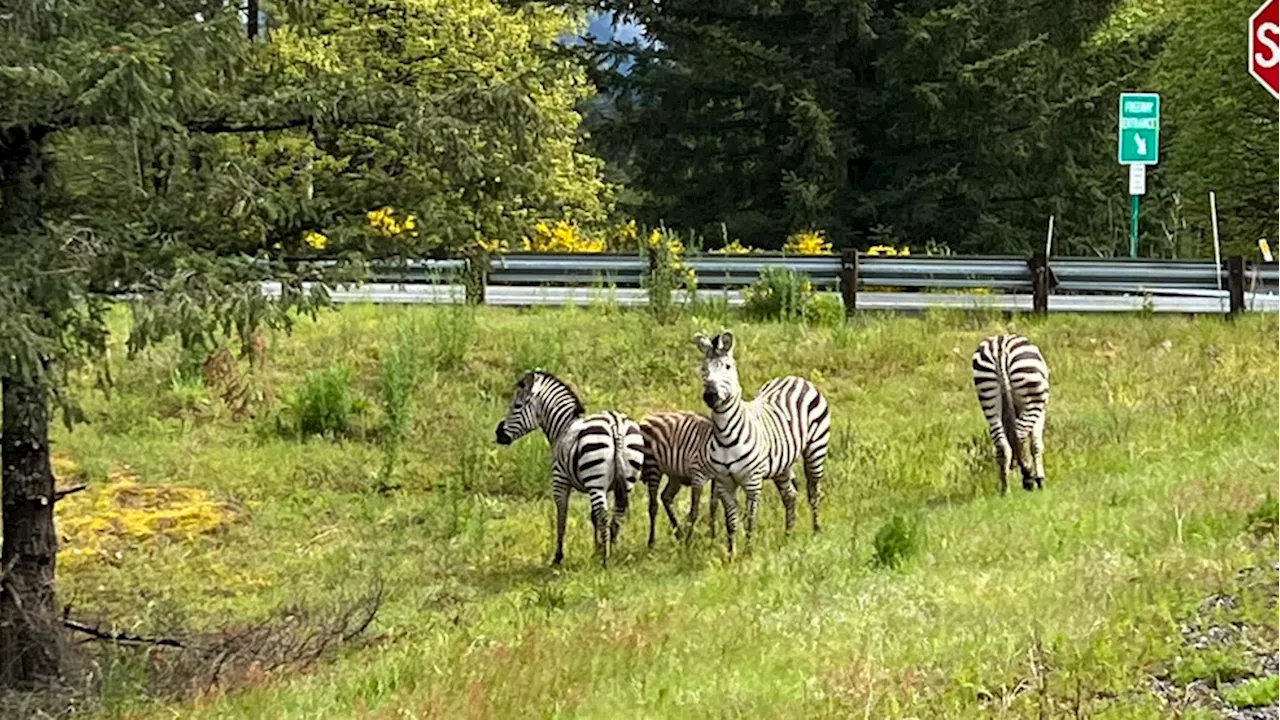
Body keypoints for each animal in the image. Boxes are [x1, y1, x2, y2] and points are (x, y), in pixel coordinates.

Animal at [494, 368, 645, 566]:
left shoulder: (560, 481)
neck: (562, 428)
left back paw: (605, 559)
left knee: (604, 514)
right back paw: (612, 550)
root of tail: (616, 425)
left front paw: (558, 556)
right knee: (617, 513)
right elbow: (593, 516)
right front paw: (596, 549)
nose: (498, 434)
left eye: (517, 406)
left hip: (595, 481)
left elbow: (562, 517)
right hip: (626, 479)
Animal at [637, 409, 721, 543]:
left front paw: (712, 539)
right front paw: (689, 542)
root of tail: (648, 416)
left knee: (665, 497)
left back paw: (679, 535)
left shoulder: (718, 477)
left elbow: (713, 505)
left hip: (675, 475)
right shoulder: (698, 475)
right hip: (653, 466)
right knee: (653, 506)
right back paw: (652, 542)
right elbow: (694, 511)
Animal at [696, 330, 834, 556]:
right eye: (703, 370)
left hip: (816, 449)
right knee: (790, 496)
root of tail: (795, 378)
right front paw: (731, 554)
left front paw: (749, 552)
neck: (725, 434)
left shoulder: (753, 481)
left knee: (814, 492)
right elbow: (731, 521)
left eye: (727, 367)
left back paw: (816, 530)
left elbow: (750, 519)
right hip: (782, 465)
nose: (710, 395)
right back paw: (788, 535)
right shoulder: (725, 483)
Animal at [967, 333, 1049, 491]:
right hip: (1032, 399)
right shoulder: (1040, 412)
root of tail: (1000, 349)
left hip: (988, 396)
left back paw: (1005, 487)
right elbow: (1036, 445)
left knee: (1003, 445)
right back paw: (1028, 473)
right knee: (1019, 435)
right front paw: (1040, 480)